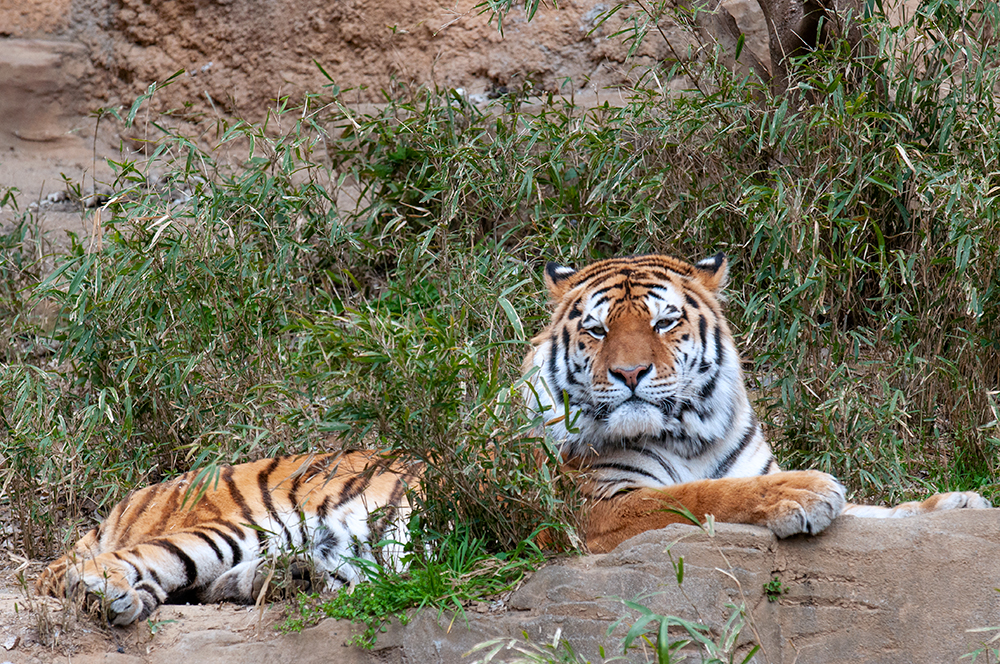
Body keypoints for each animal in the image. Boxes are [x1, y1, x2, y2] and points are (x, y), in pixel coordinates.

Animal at [39, 252, 992, 624]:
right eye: (600, 330)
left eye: (666, 323)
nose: (632, 375)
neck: (690, 427)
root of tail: (141, 491)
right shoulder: (597, 509)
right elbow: (706, 494)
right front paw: (805, 494)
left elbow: (886, 509)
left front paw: (959, 500)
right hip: (219, 524)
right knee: (77, 574)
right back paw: (113, 595)